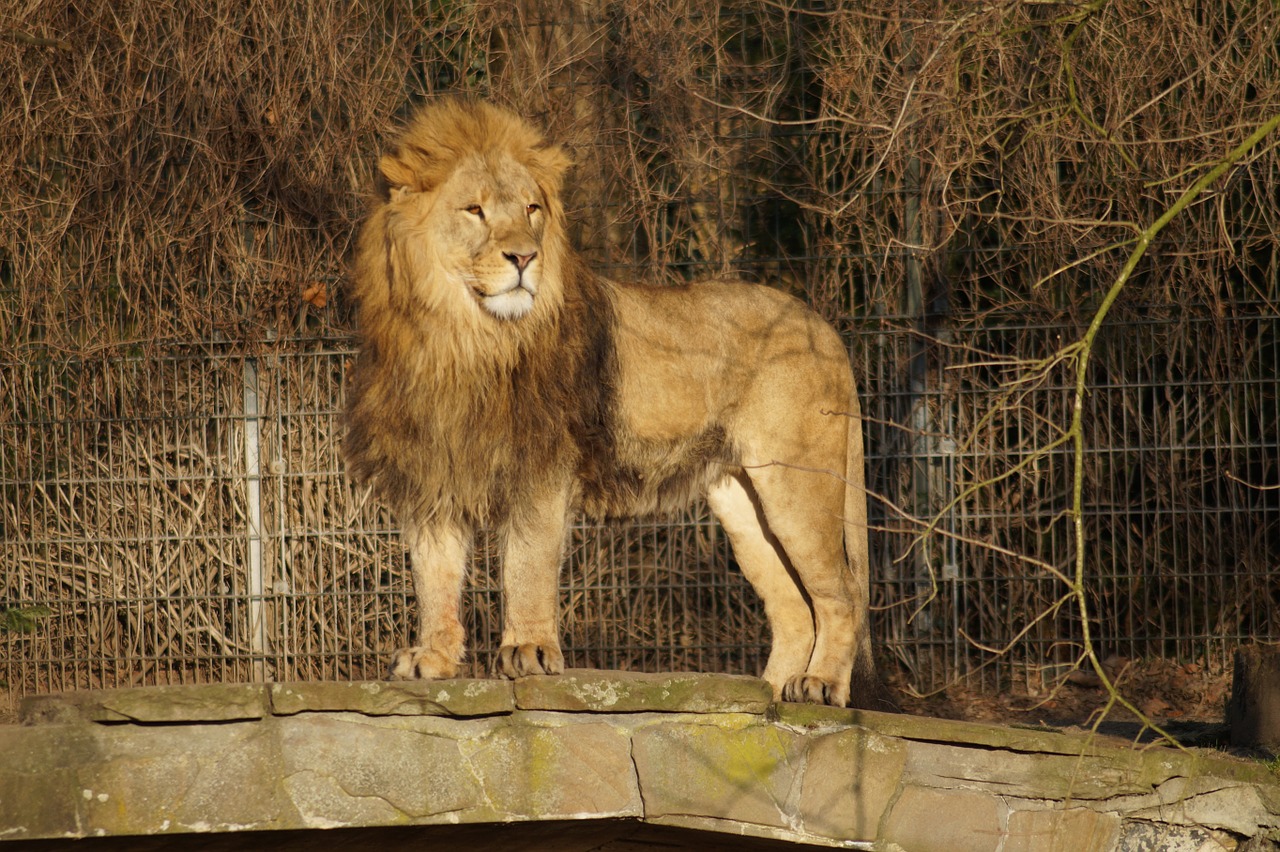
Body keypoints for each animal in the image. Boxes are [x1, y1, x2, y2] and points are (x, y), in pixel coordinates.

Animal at [343, 99, 880, 706]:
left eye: (531, 209)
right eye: (474, 210)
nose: (524, 257)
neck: (461, 338)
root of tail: (825, 327)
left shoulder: (541, 465)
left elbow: (527, 562)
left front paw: (529, 651)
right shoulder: (432, 471)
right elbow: (434, 575)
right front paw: (431, 659)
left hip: (797, 483)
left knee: (841, 594)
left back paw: (819, 685)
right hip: (742, 501)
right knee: (792, 607)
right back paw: (765, 696)